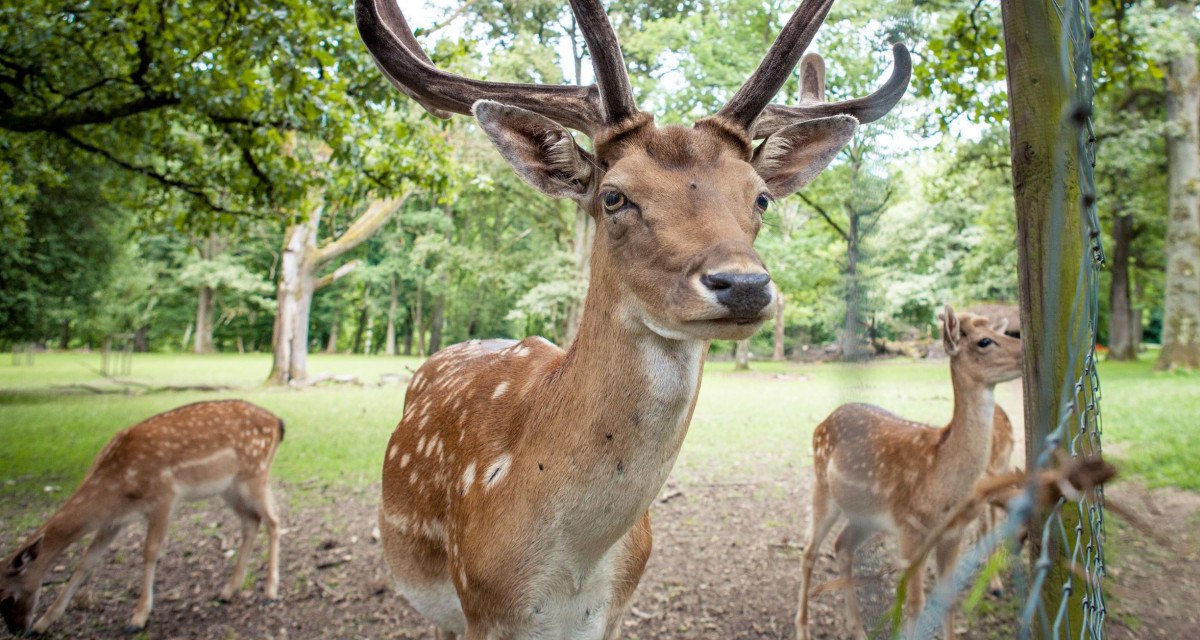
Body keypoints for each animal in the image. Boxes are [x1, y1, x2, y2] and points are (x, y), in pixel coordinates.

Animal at [0, 398, 283, 633]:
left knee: (273, 520)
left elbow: (150, 552)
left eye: (7, 597)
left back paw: (270, 592)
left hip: (255, 474)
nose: (17, 630)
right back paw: (228, 591)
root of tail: (277, 423)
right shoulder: (114, 520)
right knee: (251, 521)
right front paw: (44, 623)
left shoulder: (164, 496)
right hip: (228, 488)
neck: (117, 486)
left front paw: (138, 619)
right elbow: (86, 562)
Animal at [355, 0, 907, 633]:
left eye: (761, 196)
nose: (743, 285)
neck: (569, 570)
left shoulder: (613, 614)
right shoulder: (482, 610)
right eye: (614, 196)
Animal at [796, 306, 1022, 638]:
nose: (1024, 349)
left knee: (842, 546)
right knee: (809, 552)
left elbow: (947, 600)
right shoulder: (910, 529)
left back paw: (858, 629)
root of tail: (821, 422)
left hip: (865, 515)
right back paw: (803, 628)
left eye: (1000, 333)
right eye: (984, 341)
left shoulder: (953, 535)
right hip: (822, 489)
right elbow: (915, 603)